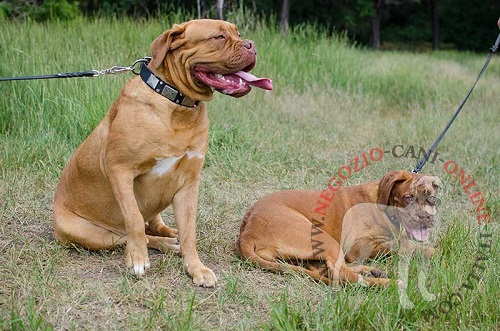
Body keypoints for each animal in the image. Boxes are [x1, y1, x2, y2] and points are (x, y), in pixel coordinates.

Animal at [52, 19, 272, 288]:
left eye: (238, 34)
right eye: (218, 37)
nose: (251, 44)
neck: (177, 104)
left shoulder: (189, 183)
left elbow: (189, 231)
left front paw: (196, 267)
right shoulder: (120, 171)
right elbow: (134, 220)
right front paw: (137, 258)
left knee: (155, 224)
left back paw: (170, 236)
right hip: (87, 232)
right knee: (130, 234)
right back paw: (161, 244)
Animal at [236, 170, 440, 286]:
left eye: (432, 198)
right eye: (408, 198)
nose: (426, 218)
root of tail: (246, 231)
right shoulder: (358, 247)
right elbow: (402, 245)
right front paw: (433, 251)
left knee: (326, 270)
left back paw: (371, 271)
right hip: (324, 238)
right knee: (342, 275)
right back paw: (389, 283)